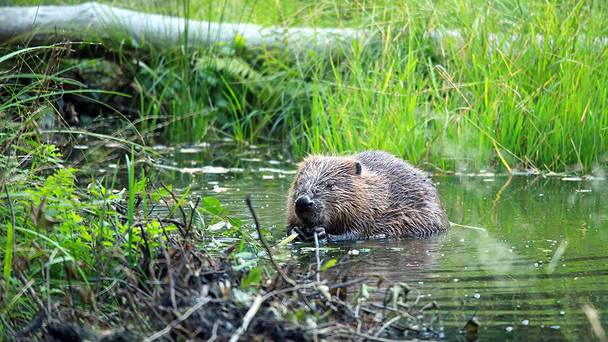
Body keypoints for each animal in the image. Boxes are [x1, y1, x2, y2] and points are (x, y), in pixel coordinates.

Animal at [284, 150, 446, 240]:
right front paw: (297, 231)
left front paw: (322, 233)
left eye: (330, 185)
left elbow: (358, 232)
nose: (303, 202)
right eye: (300, 182)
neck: (376, 191)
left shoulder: (372, 212)